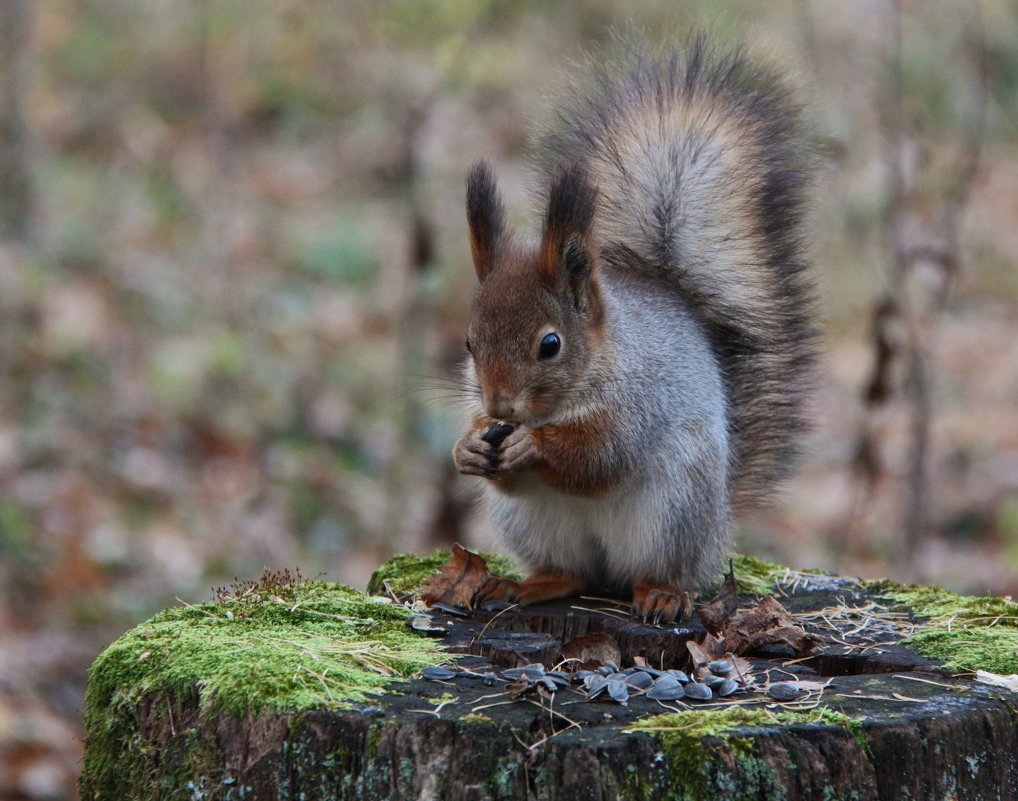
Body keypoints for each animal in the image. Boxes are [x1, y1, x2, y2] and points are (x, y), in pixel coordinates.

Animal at [454, 37, 818, 622]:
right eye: (469, 343)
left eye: (550, 344)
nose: (499, 407)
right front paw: (467, 447)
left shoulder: (640, 402)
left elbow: (600, 458)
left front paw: (533, 446)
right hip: (536, 526)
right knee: (573, 572)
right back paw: (532, 584)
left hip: (675, 513)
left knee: (657, 571)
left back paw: (662, 594)